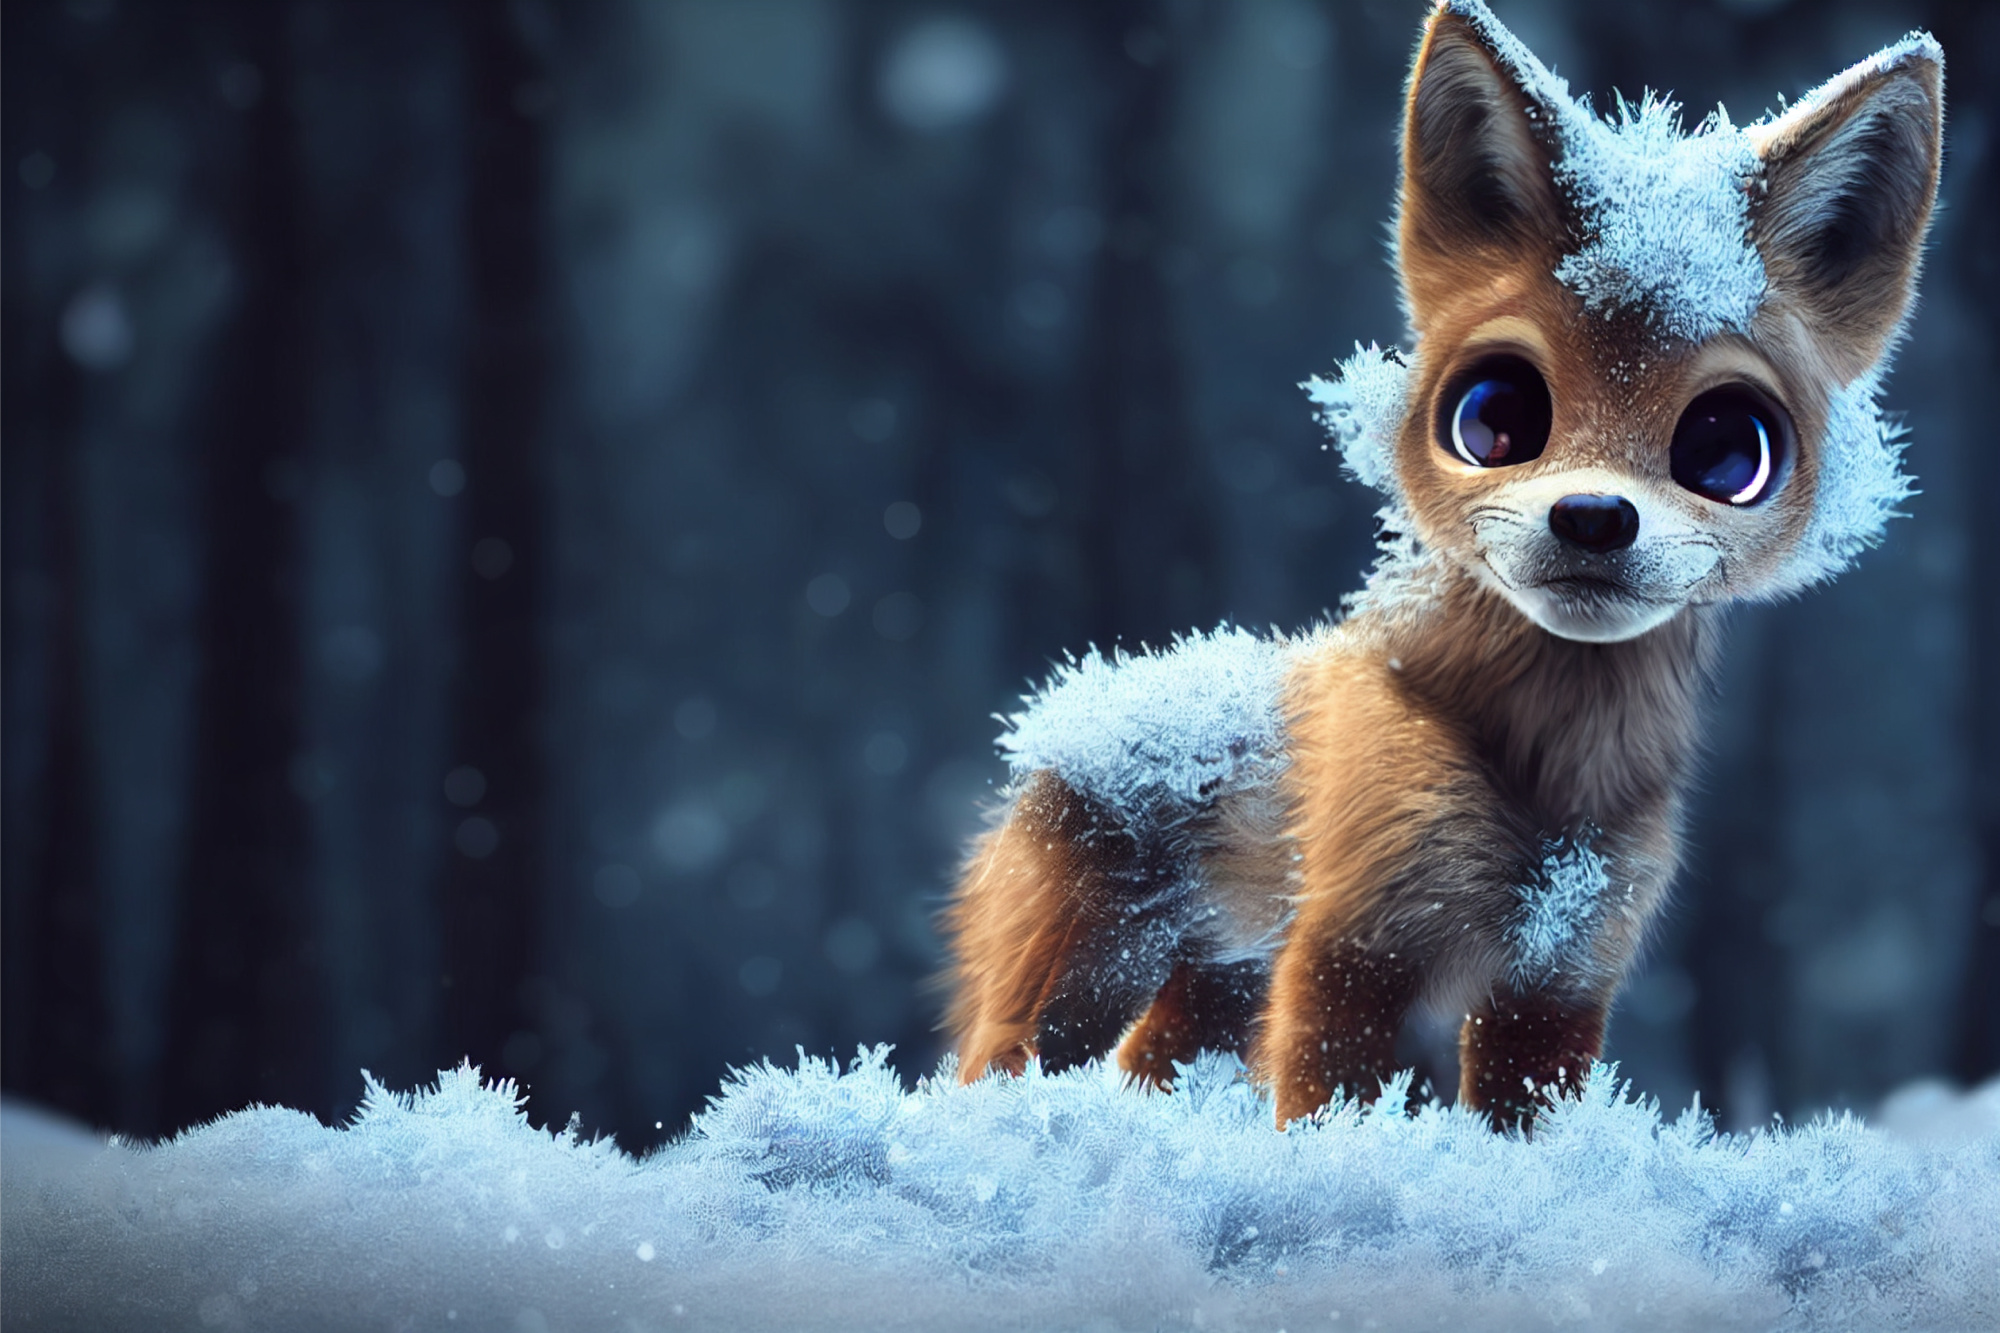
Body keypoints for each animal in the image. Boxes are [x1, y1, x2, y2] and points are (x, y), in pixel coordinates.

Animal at [940, 0, 1943, 1130]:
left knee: (1141, 1067)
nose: (1592, 516)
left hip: (1215, 990)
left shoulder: (1559, 978)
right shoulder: (1351, 947)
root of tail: (1076, 703)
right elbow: (1329, 1108)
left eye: (1727, 449)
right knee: (991, 1066)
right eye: (1494, 416)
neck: (1551, 783)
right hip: (1085, 975)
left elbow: (1522, 1129)